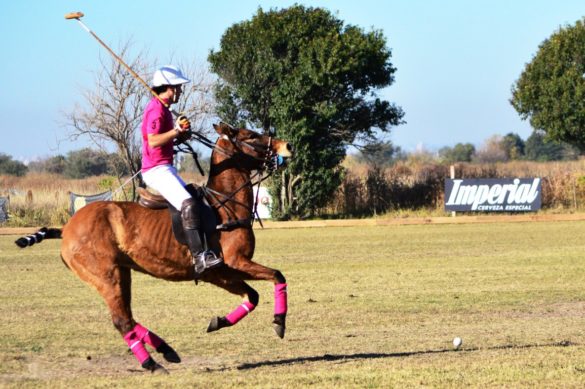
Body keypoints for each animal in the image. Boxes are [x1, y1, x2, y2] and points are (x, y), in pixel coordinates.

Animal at [14, 122, 292, 372]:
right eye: (251, 135)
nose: (287, 146)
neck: (224, 206)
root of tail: (65, 229)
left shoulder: (220, 273)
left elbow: (253, 296)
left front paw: (217, 322)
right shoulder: (234, 263)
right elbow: (278, 275)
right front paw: (279, 323)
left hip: (121, 273)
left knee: (128, 316)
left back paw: (165, 349)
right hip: (105, 276)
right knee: (121, 320)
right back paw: (152, 363)